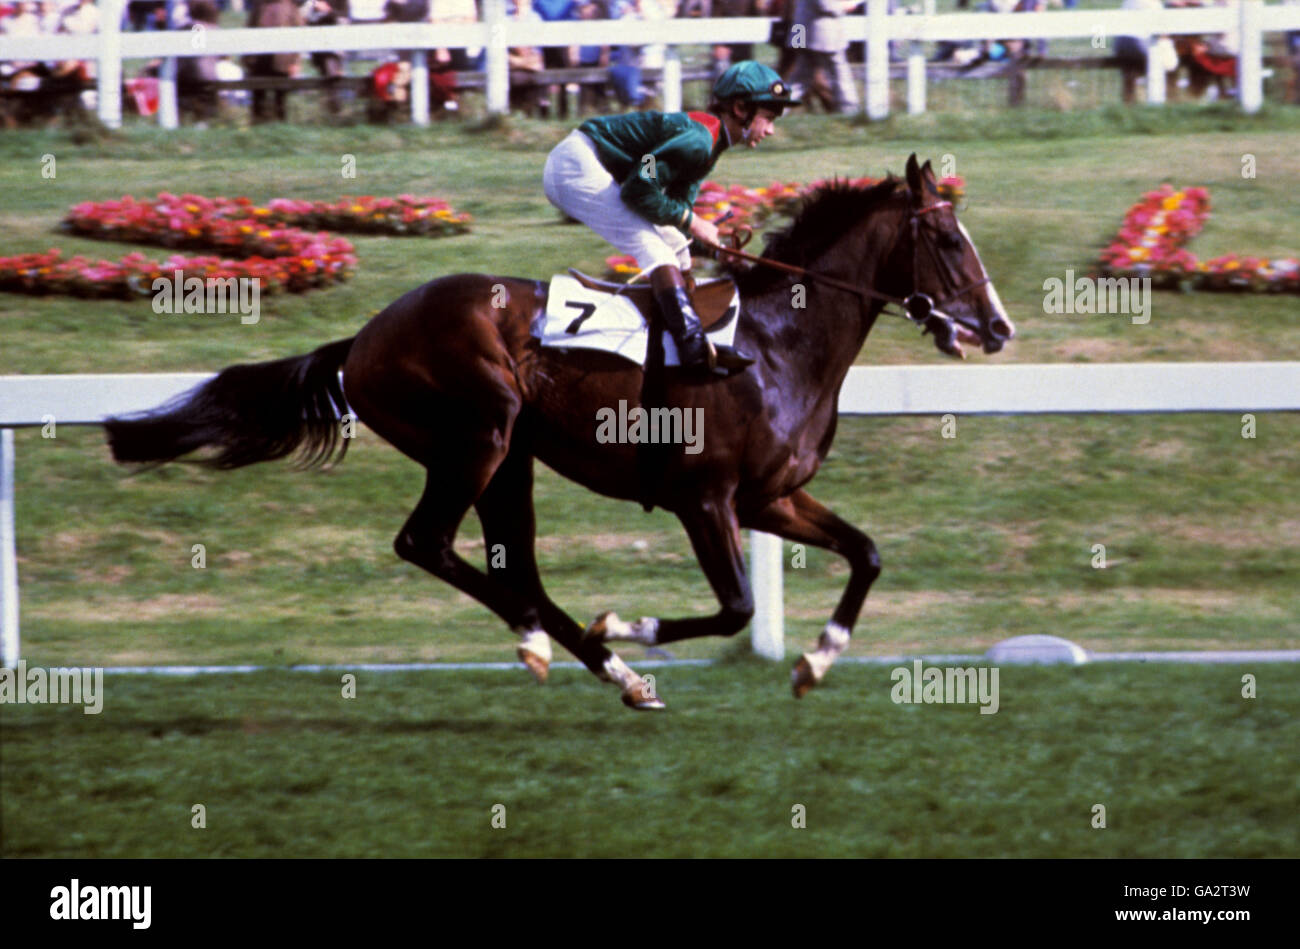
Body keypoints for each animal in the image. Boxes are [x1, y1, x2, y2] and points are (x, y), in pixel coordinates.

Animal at [104, 151, 1013, 707]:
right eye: (945, 237)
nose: (999, 328)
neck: (775, 343)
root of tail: (361, 339)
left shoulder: (771, 498)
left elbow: (867, 552)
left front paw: (816, 659)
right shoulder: (705, 498)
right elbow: (735, 605)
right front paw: (630, 625)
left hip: (510, 459)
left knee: (518, 569)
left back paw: (596, 664)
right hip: (480, 436)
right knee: (425, 543)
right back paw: (577, 647)